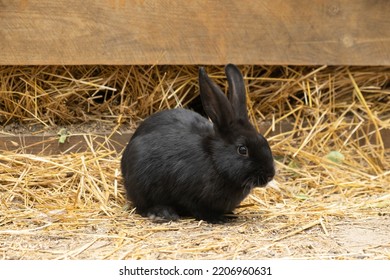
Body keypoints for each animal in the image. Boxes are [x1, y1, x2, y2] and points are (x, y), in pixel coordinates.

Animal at [120, 64, 276, 223]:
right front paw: (218, 218)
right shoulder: (189, 195)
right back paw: (161, 213)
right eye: (242, 149)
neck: (214, 160)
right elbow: (198, 209)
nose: (270, 174)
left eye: (263, 140)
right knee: (141, 206)